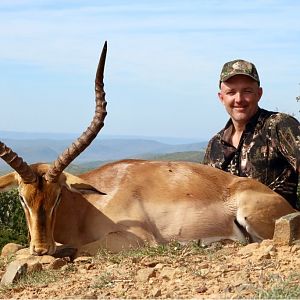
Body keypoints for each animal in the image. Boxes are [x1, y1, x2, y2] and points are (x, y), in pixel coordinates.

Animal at [0, 42, 296, 255]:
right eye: (22, 198)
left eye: (58, 196)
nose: (41, 249)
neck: (87, 206)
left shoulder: (135, 239)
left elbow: (77, 250)